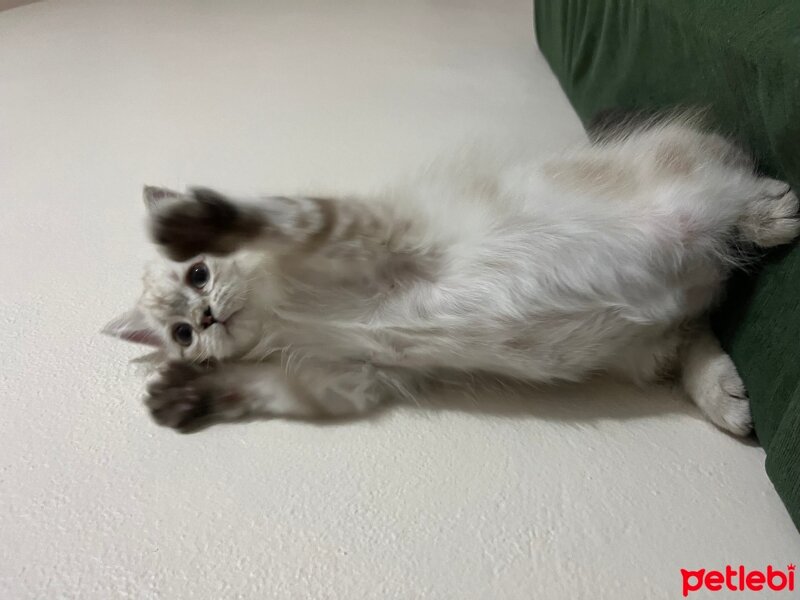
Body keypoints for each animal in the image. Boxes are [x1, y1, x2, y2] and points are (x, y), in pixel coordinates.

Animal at [104, 118, 800, 436]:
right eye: (182, 335)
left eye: (198, 275)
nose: (205, 318)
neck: (288, 310)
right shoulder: (346, 378)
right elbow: (260, 388)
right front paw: (180, 398)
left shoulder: (352, 229)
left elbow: (265, 217)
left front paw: (187, 219)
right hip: (649, 347)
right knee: (699, 333)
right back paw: (728, 403)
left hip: (693, 192)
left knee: (736, 178)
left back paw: (775, 215)